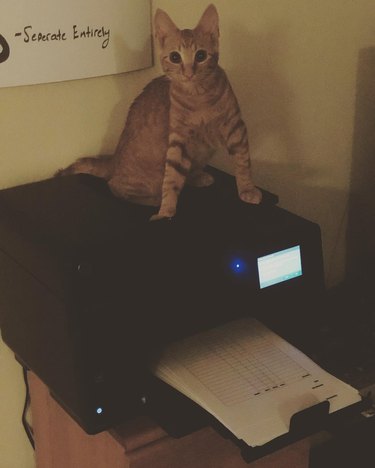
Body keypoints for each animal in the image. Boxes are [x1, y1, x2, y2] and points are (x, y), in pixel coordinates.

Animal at [57, 3, 262, 220]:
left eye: (200, 55)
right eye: (175, 57)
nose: (188, 72)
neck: (198, 98)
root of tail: (113, 159)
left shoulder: (236, 128)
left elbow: (243, 162)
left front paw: (247, 189)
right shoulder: (178, 141)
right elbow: (171, 179)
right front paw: (165, 211)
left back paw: (197, 177)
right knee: (115, 186)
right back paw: (154, 200)